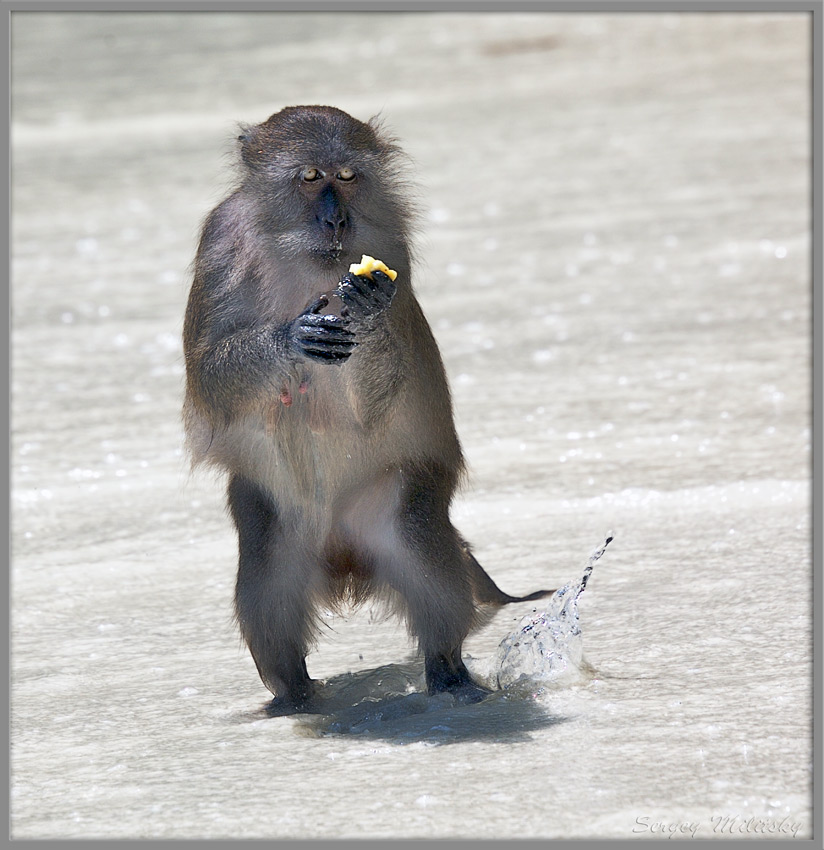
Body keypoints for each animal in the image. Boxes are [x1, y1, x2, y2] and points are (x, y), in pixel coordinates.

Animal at [182, 105, 552, 710]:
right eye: (311, 177)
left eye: (349, 176)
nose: (336, 221)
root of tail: (342, 555)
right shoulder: (218, 243)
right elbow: (208, 374)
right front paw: (291, 339)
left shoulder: (392, 244)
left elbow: (378, 400)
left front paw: (370, 313)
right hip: (274, 509)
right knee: (265, 564)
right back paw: (292, 691)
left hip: (392, 495)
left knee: (416, 538)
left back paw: (447, 670)